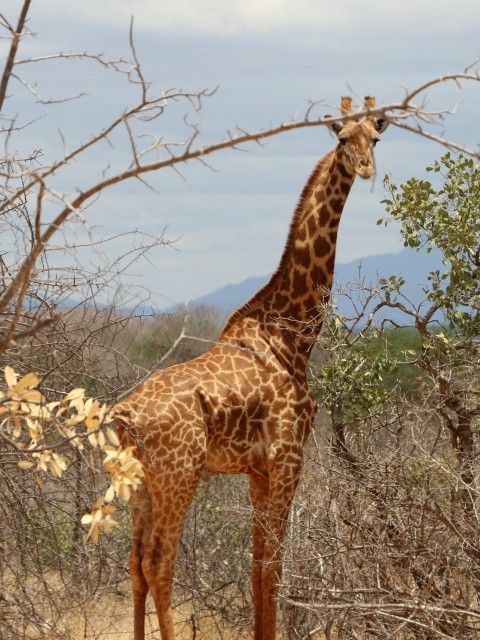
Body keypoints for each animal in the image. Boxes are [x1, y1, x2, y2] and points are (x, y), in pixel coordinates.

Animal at [114, 96, 389, 640]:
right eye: (341, 136)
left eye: (376, 135)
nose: (366, 167)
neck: (294, 335)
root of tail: (123, 418)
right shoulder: (288, 457)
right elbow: (274, 567)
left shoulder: (258, 469)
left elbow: (258, 566)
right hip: (179, 474)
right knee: (159, 563)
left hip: (140, 484)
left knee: (134, 564)